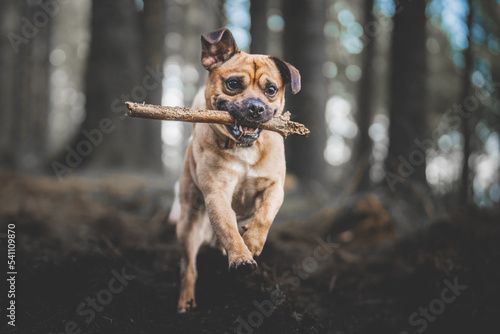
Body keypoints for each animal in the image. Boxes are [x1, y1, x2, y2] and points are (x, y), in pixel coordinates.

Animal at [168, 28, 300, 314]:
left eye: (271, 90)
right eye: (233, 84)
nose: (256, 108)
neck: (244, 147)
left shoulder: (274, 188)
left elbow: (264, 216)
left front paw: (252, 243)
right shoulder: (217, 194)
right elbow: (227, 228)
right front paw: (241, 257)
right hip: (188, 223)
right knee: (189, 268)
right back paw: (186, 300)